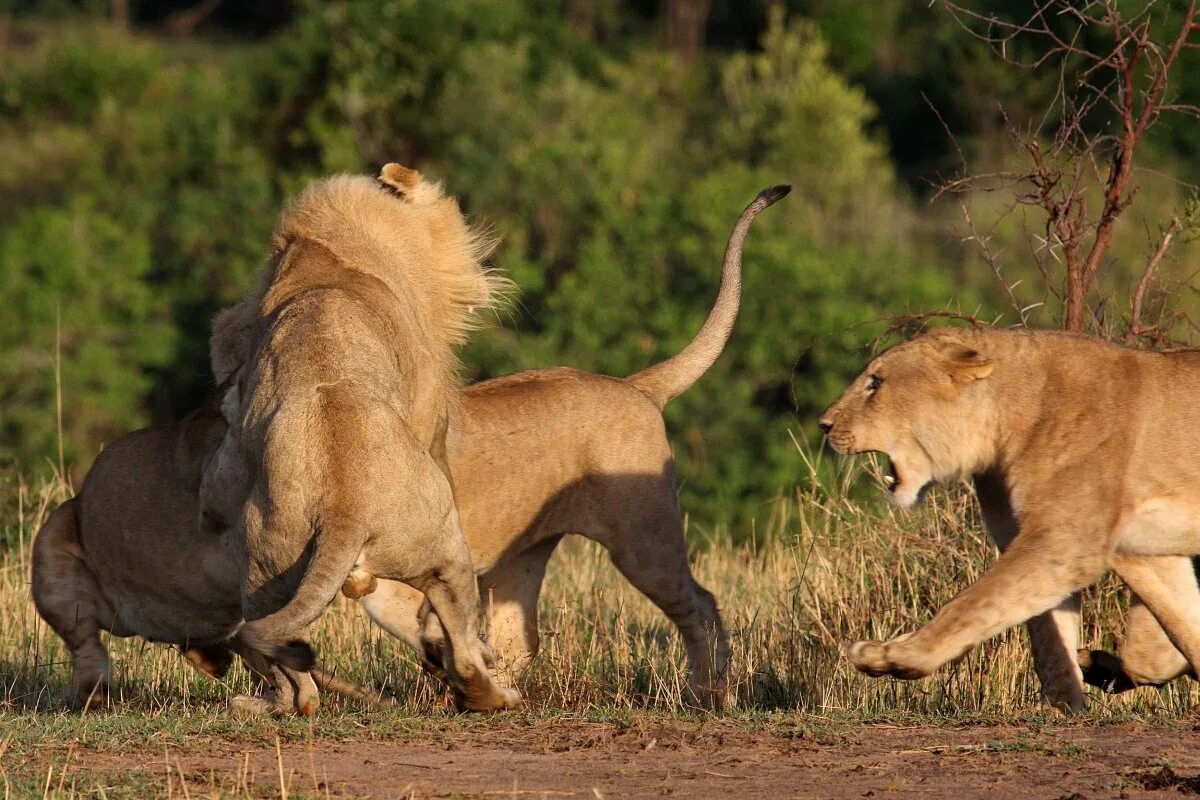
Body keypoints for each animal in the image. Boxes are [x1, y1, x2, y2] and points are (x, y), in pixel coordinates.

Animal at [202, 163, 520, 714]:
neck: (325, 248)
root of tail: (344, 510)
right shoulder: (431, 420)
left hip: (263, 577)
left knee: (294, 682)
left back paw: (263, 704)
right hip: (449, 548)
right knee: (460, 646)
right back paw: (492, 691)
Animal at [825, 326, 1200, 714]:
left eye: (876, 383)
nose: (825, 425)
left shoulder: (1065, 539)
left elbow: (970, 606)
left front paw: (888, 656)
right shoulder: (1144, 550)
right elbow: (1171, 625)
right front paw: (1062, 706)